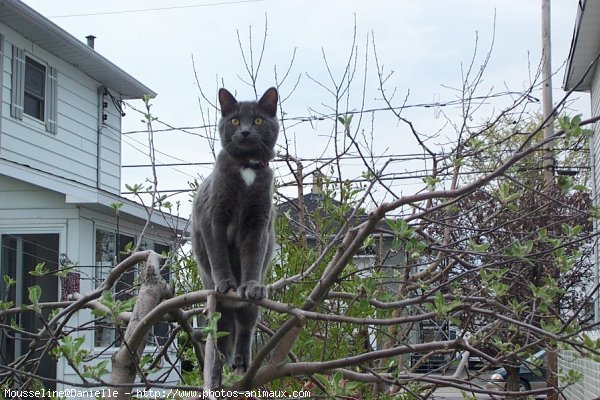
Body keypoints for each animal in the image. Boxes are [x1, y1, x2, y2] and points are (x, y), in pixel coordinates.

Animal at [191, 86, 278, 386]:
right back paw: (218, 370)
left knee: (245, 325)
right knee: (221, 332)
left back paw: (240, 361)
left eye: (259, 120)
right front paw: (225, 282)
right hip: (215, 307)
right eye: (236, 120)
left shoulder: (258, 222)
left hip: (249, 313)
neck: (247, 169)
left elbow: (253, 253)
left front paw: (249, 285)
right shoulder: (213, 217)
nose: (246, 132)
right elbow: (217, 251)